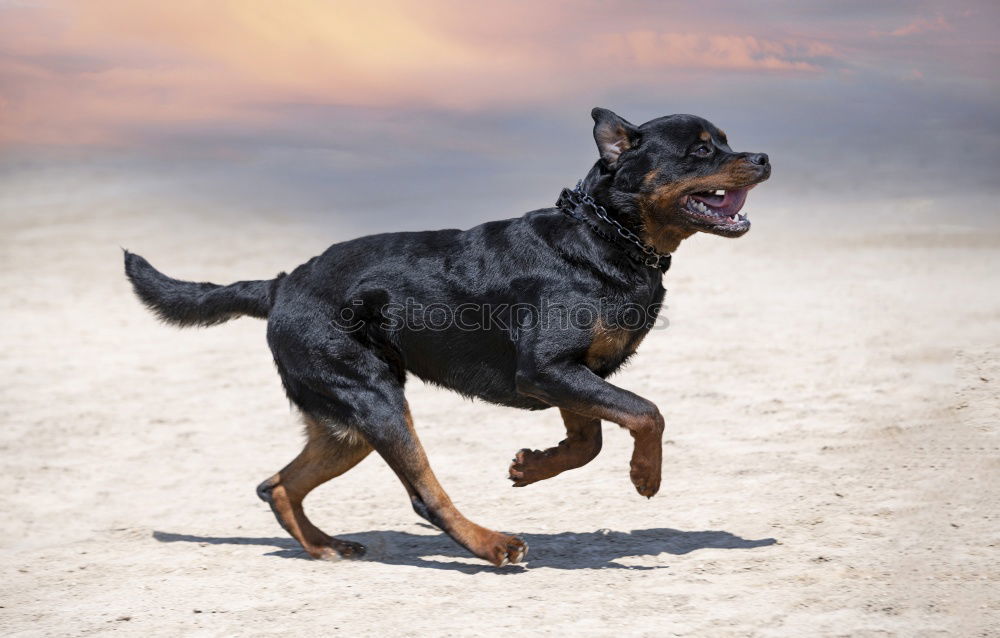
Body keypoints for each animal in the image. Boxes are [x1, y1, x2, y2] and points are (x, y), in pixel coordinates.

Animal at [121, 107, 768, 568]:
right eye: (701, 149)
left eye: (725, 140)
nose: (762, 156)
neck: (606, 235)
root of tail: (281, 284)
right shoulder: (547, 369)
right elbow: (646, 413)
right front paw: (645, 476)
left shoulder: (571, 376)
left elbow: (590, 441)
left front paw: (530, 468)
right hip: (376, 401)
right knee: (422, 494)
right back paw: (491, 545)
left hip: (345, 424)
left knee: (277, 484)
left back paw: (324, 545)